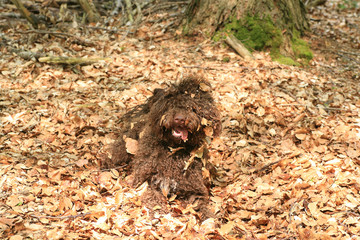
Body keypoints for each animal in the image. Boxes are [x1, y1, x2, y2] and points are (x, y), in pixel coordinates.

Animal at [102, 76, 222, 218]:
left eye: (193, 108)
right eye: (172, 105)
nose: (180, 119)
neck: (173, 151)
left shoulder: (195, 190)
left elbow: (202, 205)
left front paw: (209, 218)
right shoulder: (149, 182)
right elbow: (153, 197)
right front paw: (158, 211)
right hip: (126, 145)